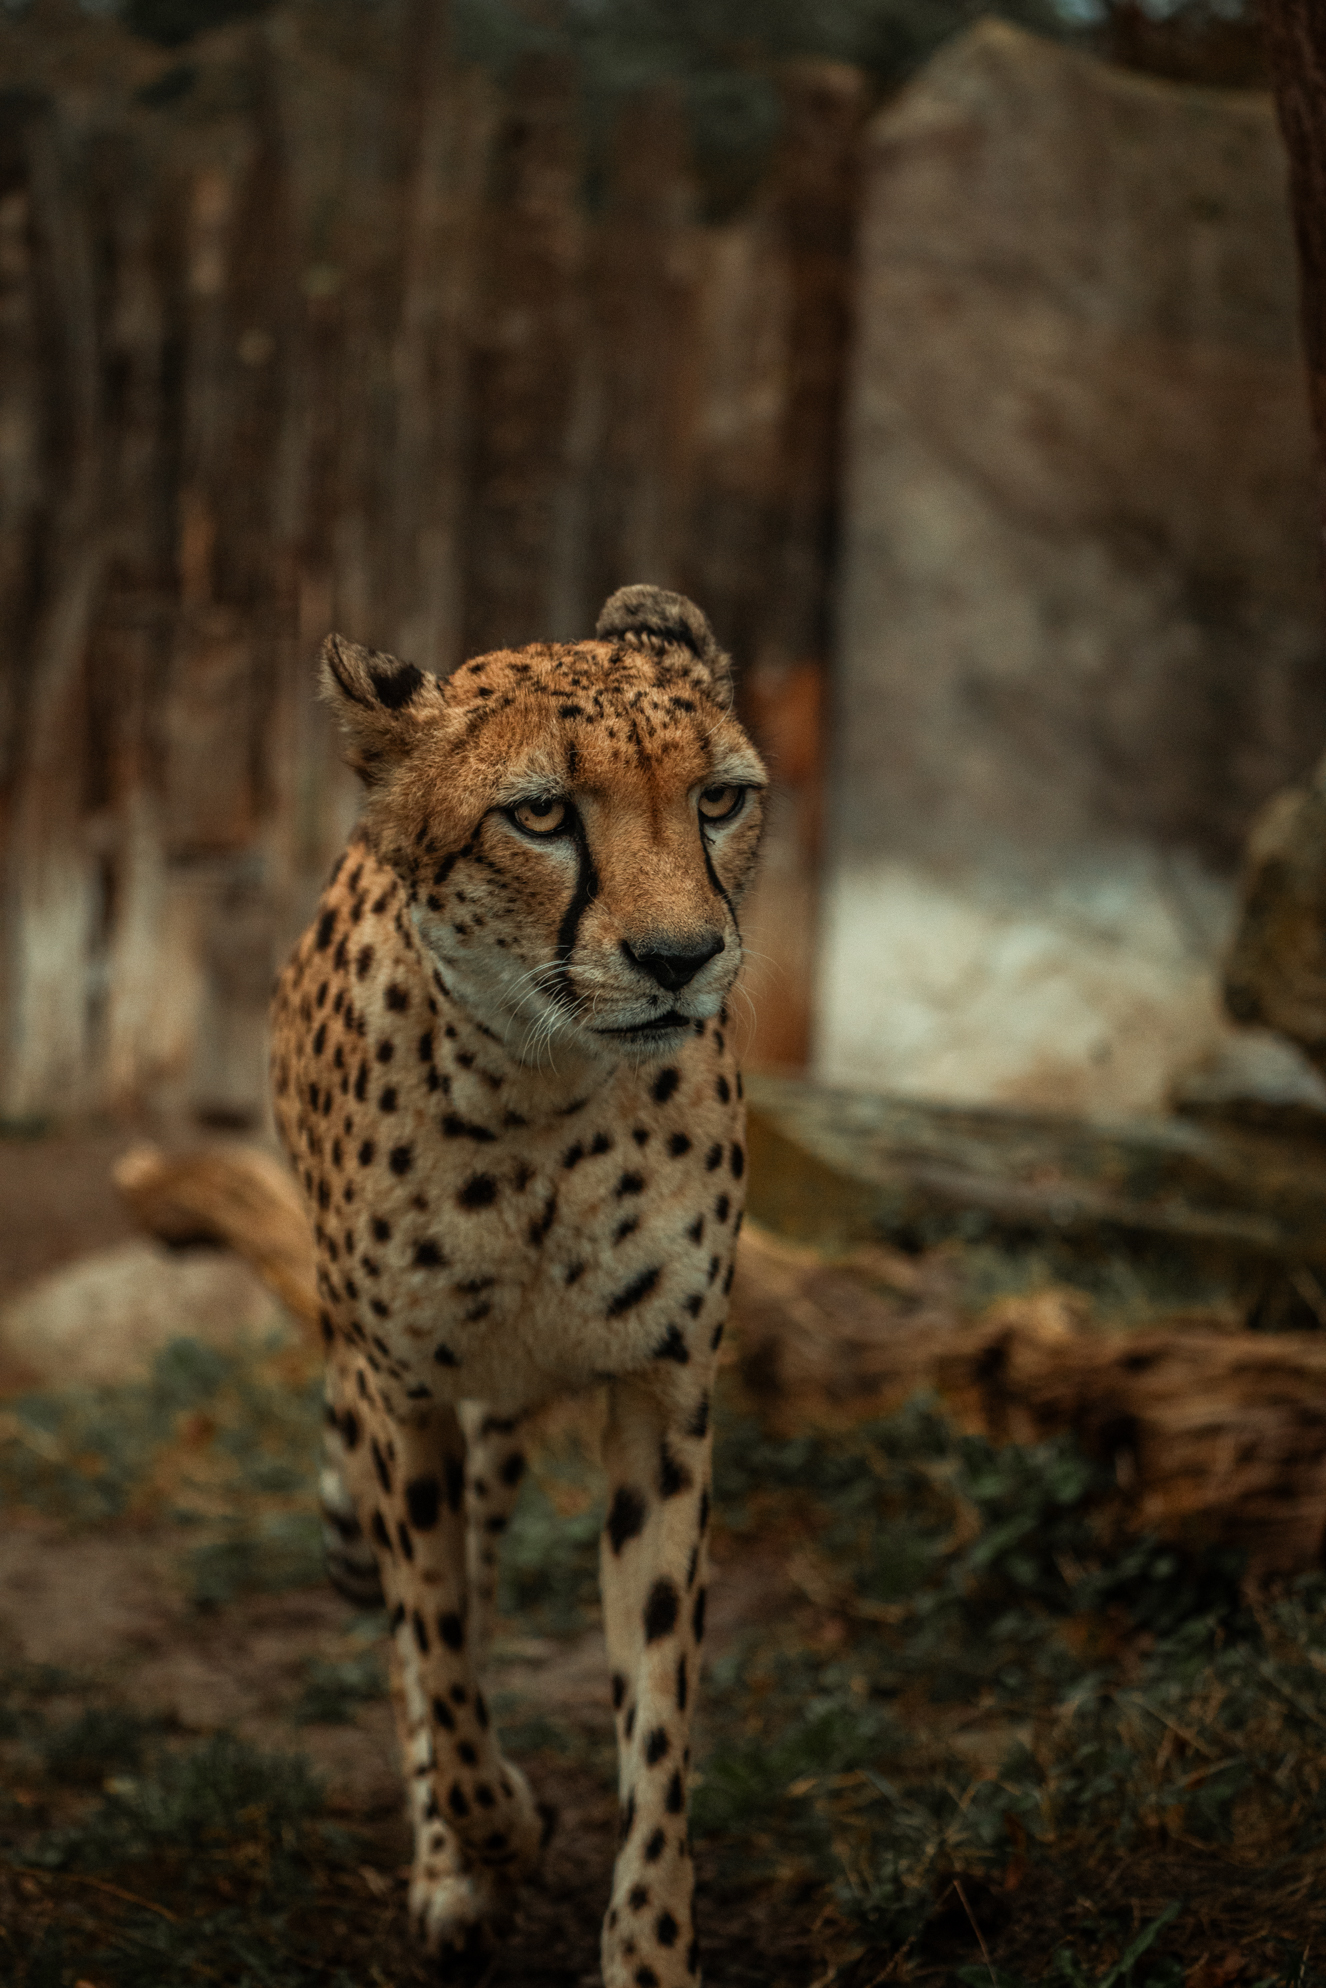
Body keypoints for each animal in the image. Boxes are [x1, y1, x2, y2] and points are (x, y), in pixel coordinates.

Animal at [270, 585, 767, 1986]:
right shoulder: (408, 1399)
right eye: (542, 814)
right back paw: (453, 1861)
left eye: (720, 800)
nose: (680, 956)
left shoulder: (663, 1400)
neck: (543, 1095)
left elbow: (658, 1719)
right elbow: (436, 1657)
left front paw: (648, 1949)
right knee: (418, 1628)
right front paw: (494, 1829)